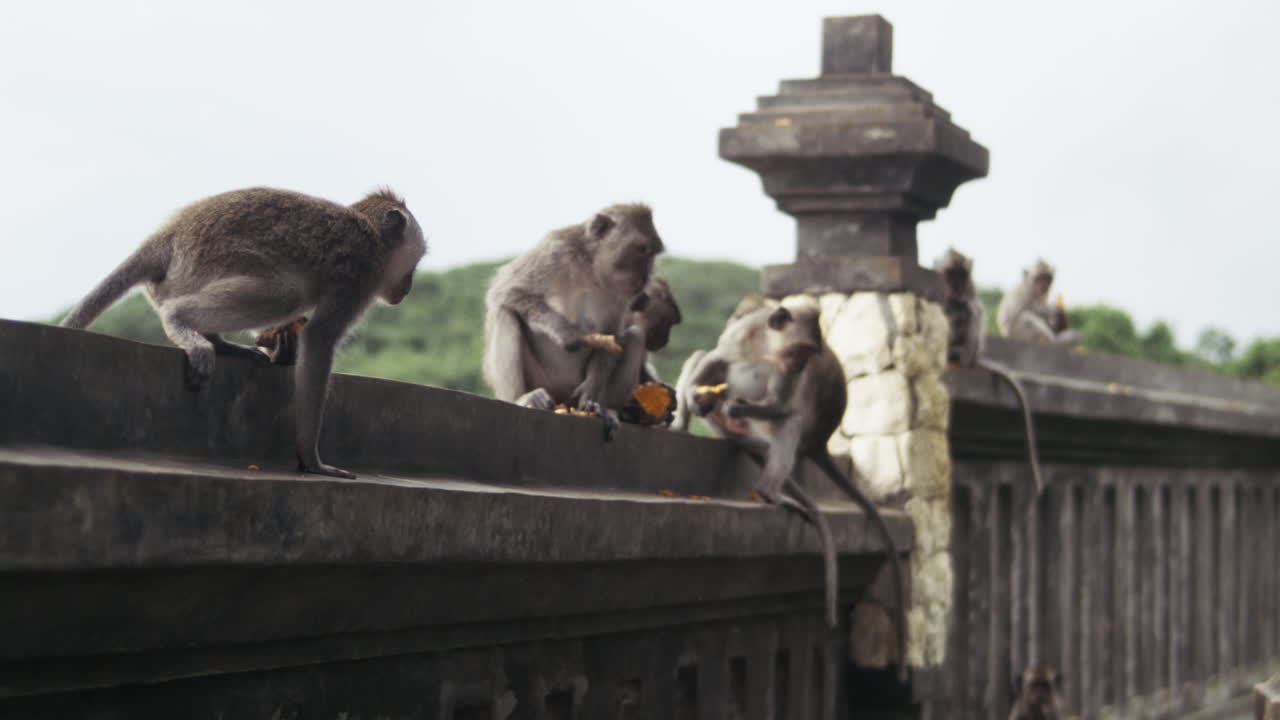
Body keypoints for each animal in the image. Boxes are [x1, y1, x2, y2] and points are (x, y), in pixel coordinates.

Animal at [60, 187, 427, 479]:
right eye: (415, 261)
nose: (409, 287)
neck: (371, 235)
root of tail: (168, 236)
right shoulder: (359, 276)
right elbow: (320, 338)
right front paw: (311, 458)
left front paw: (284, 347)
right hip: (205, 263)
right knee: (285, 294)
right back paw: (181, 321)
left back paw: (219, 342)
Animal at [483, 203, 664, 435]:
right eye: (642, 249)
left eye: (653, 252)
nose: (646, 278)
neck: (591, 265)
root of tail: (563, 399)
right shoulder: (554, 249)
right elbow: (507, 291)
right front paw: (567, 333)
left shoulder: (621, 293)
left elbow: (611, 336)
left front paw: (591, 387)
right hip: (543, 381)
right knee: (505, 313)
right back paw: (522, 398)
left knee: (634, 336)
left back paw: (607, 409)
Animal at [670, 295, 908, 693]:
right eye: (800, 350)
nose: (799, 364)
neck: (767, 350)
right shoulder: (740, 337)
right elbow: (714, 358)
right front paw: (696, 396)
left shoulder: (787, 376)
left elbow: (780, 405)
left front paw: (738, 402)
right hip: (730, 426)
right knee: (704, 361)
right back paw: (684, 421)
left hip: (760, 430)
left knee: (789, 421)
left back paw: (770, 490)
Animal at [935, 247, 1045, 503]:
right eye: (950, 274)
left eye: (961, 275)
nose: (956, 287)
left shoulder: (969, 287)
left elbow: (972, 306)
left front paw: (961, 308)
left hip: (971, 349)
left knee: (973, 310)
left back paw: (958, 356)